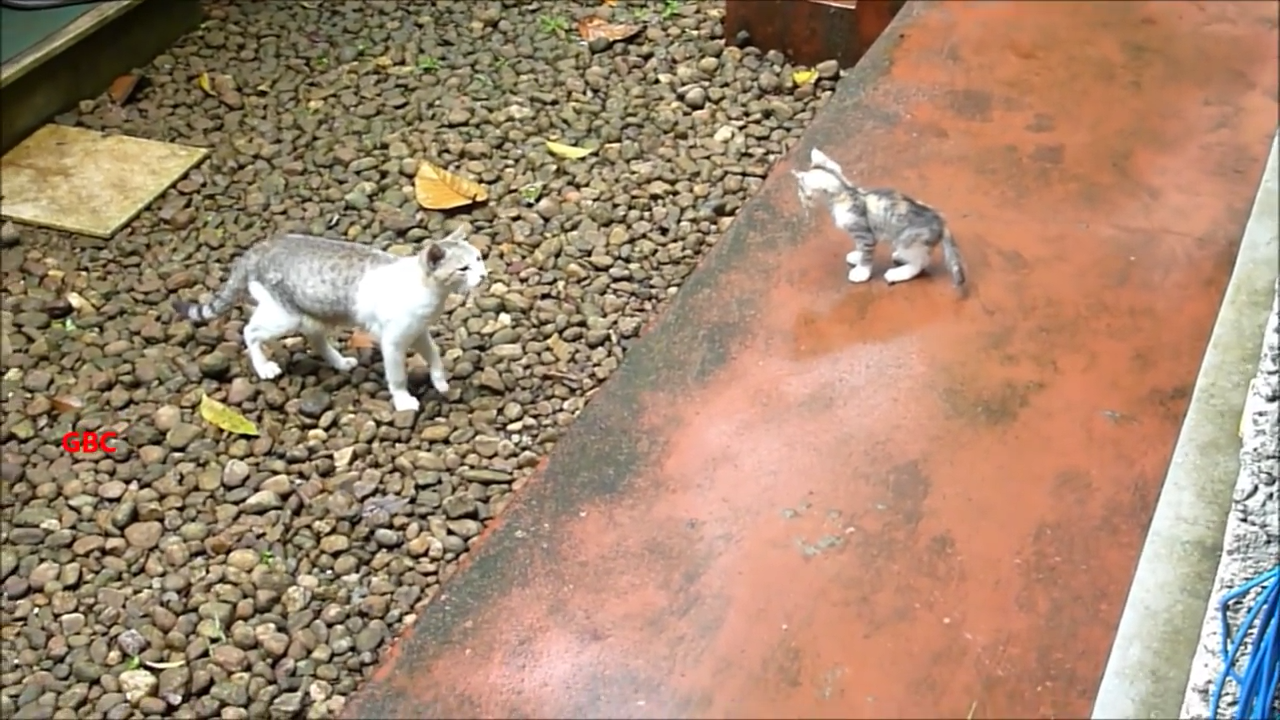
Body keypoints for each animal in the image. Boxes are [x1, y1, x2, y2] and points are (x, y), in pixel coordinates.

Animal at [172, 226, 481, 412]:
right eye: (463, 269)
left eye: (478, 258)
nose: (484, 274)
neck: (431, 294)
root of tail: (261, 246)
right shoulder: (393, 342)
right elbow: (397, 376)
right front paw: (404, 400)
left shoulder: (418, 332)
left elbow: (435, 355)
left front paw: (440, 382)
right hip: (284, 316)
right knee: (250, 331)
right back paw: (264, 367)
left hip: (311, 314)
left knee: (315, 338)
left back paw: (340, 362)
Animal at [788, 146, 967, 292]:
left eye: (801, 191)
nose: (801, 201)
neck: (846, 194)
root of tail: (941, 221)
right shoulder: (859, 235)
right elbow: (860, 248)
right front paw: (856, 256)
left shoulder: (865, 233)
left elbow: (866, 254)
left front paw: (862, 272)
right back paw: (900, 257)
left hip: (906, 240)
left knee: (921, 263)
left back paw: (898, 273)